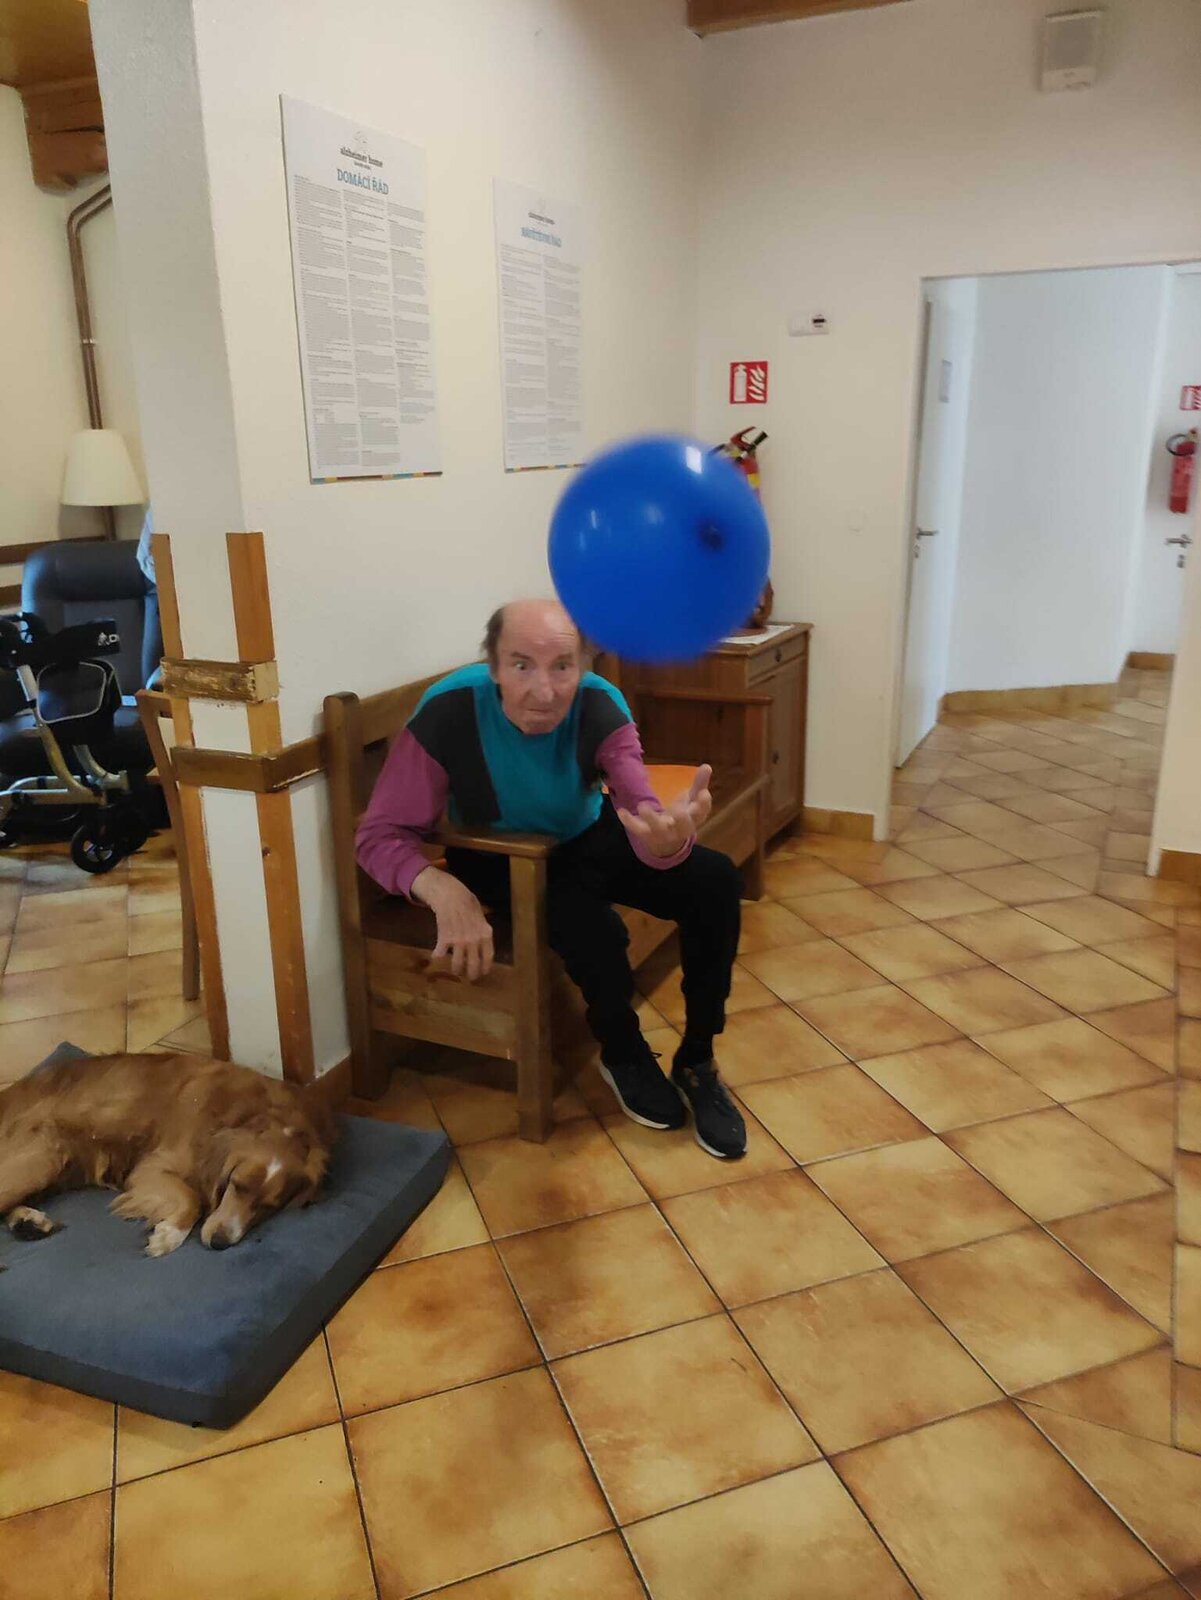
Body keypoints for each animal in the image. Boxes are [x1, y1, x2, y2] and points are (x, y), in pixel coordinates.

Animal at [0, 1053, 335, 1263]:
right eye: (235, 1184)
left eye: (269, 1206)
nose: (220, 1244)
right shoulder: (152, 1168)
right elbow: (192, 1198)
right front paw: (168, 1236)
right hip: (43, 1156)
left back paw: (28, 1222)